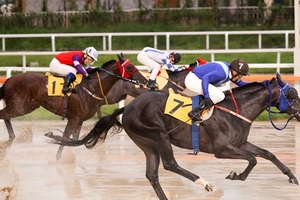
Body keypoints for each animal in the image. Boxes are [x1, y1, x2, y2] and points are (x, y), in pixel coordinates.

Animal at [0, 53, 147, 159]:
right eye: (130, 67)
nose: (145, 80)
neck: (91, 87)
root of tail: (8, 80)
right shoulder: (74, 118)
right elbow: (65, 138)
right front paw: (58, 158)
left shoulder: (79, 120)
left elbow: (73, 139)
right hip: (18, 107)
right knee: (4, 115)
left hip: (27, 106)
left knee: (6, 118)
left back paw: (10, 139)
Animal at [47, 72, 300, 199]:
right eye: (291, 94)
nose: (299, 112)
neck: (237, 110)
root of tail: (127, 108)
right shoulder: (222, 150)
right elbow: (253, 159)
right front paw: (235, 175)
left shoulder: (241, 142)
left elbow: (267, 153)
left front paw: (291, 177)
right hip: (158, 135)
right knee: (170, 164)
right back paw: (206, 184)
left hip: (147, 144)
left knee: (152, 174)